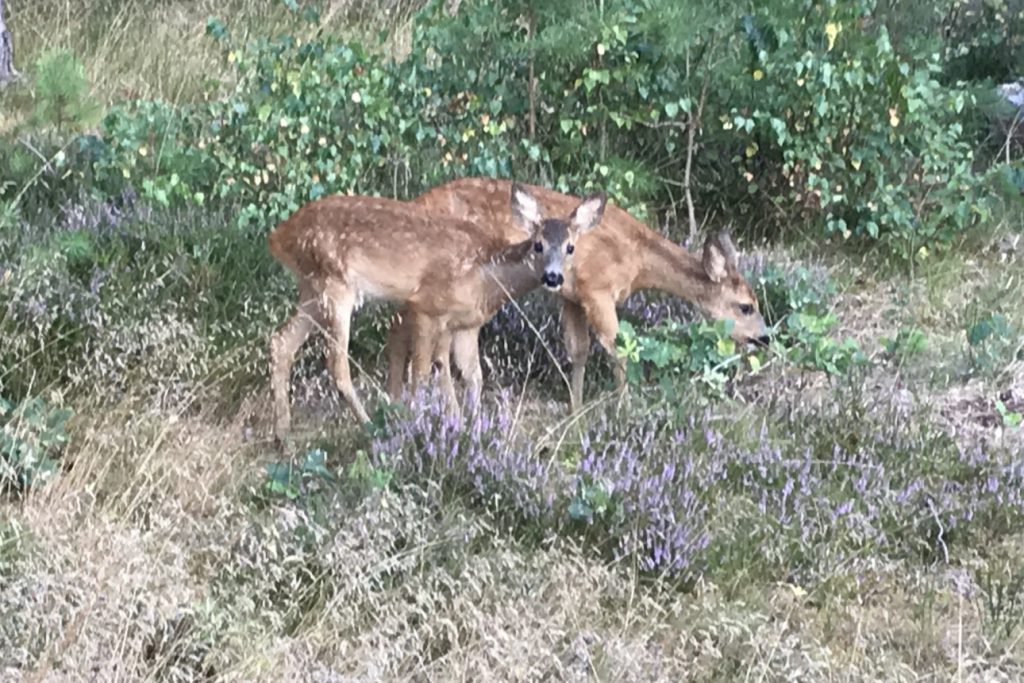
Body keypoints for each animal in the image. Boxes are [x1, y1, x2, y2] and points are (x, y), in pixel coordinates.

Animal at [268, 181, 606, 438]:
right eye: (538, 245)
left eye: (570, 247)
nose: (553, 277)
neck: (485, 275)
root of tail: (278, 236)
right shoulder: (426, 306)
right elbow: (420, 375)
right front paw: (420, 422)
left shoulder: (466, 325)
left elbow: (473, 376)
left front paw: (472, 428)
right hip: (335, 287)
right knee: (337, 365)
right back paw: (369, 427)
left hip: (313, 291)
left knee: (281, 342)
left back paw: (284, 437)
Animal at [385, 178, 770, 411]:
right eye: (746, 306)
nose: (764, 338)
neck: (637, 259)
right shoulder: (597, 290)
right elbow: (618, 350)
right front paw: (624, 408)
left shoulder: (572, 296)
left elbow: (578, 349)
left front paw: (577, 405)